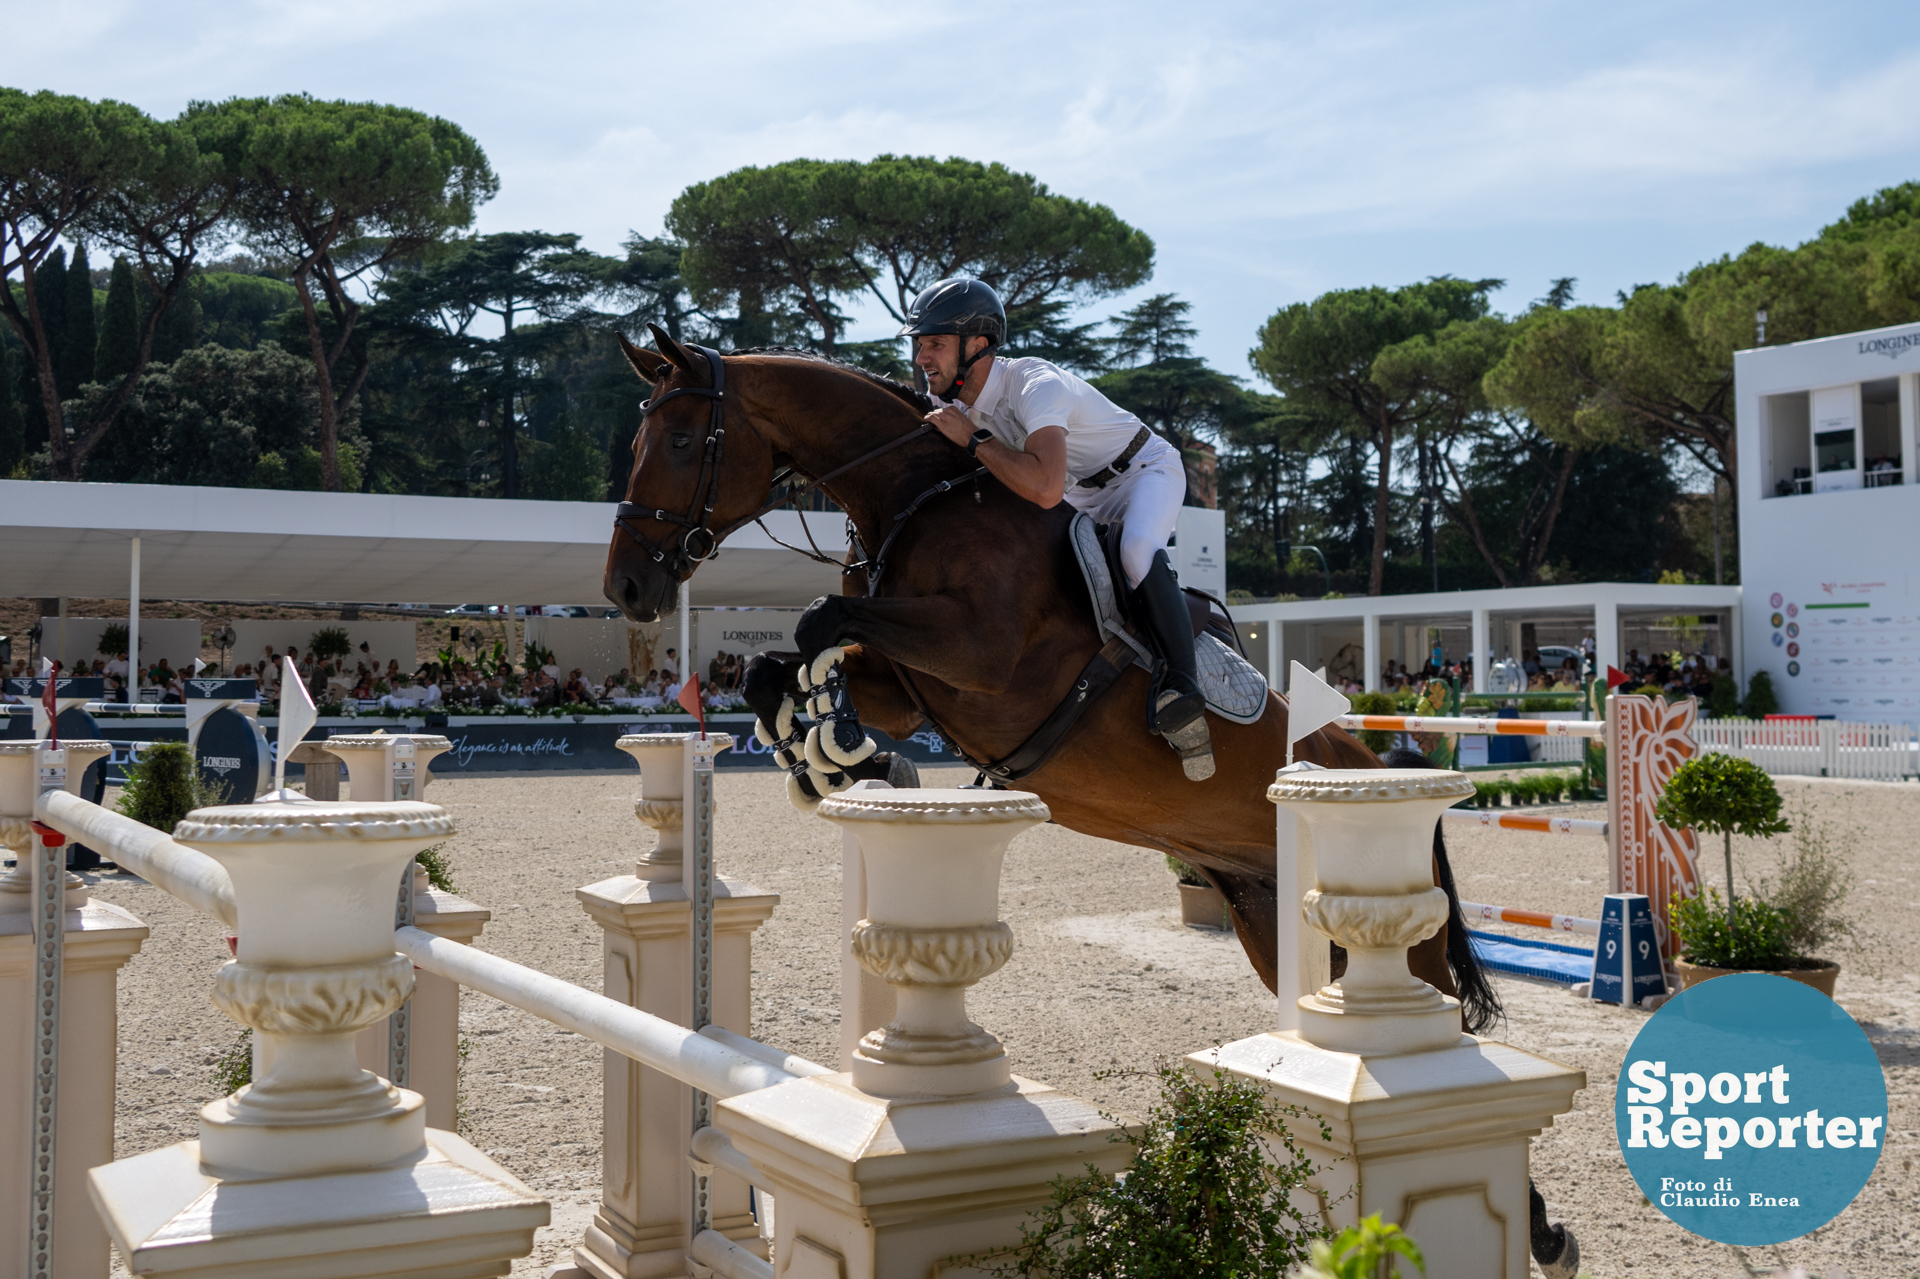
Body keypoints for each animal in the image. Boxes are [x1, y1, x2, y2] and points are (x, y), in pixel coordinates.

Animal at [599, 320, 1497, 1029]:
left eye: (681, 443)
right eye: (638, 443)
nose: (627, 589)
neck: (919, 496)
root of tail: (1369, 761)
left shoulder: (983, 655)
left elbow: (820, 617)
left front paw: (844, 743)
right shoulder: (912, 677)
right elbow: (771, 664)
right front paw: (830, 755)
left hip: (1383, 929)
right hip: (1269, 914)